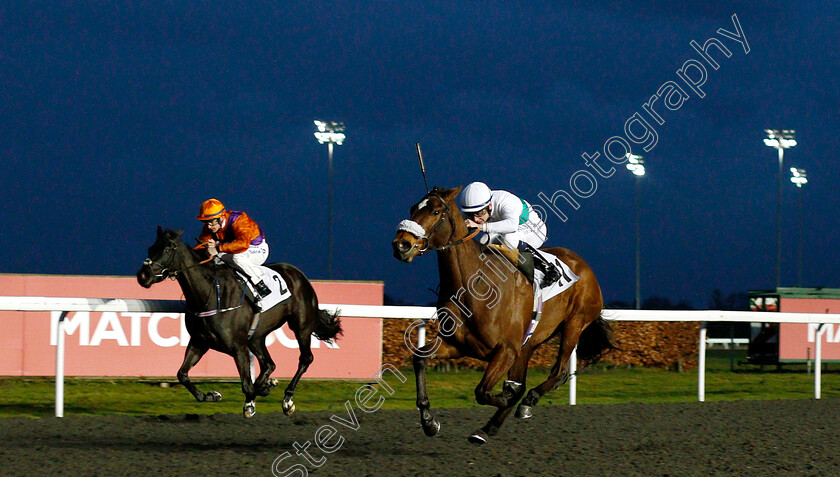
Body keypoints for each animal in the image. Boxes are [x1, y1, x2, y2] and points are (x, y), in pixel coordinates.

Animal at [138, 227, 342, 416]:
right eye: (150, 248)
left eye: (167, 249)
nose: (143, 276)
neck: (210, 295)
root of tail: (299, 274)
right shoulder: (200, 341)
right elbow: (182, 374)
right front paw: (211, 395)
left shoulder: (238, 346)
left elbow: (247, 386)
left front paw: (255, 398)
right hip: (257, 337)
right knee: (269, 364)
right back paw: (267, 384)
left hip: (301, 325)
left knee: (305, 358)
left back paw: (287, 399)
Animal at [390, 186, 612, 442]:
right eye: (412, 208)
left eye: (436, 211)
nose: (401, 244)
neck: (475, 285)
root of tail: (584, 266)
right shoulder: (457, 345)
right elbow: (419, 359)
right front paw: (428, 421)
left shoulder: (506, 350)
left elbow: (483, 391)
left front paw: (510, 398)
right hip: (528, 344)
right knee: (528, 379)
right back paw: (489, 427)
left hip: (574, 324)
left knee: (559, 372)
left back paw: (526, 402)